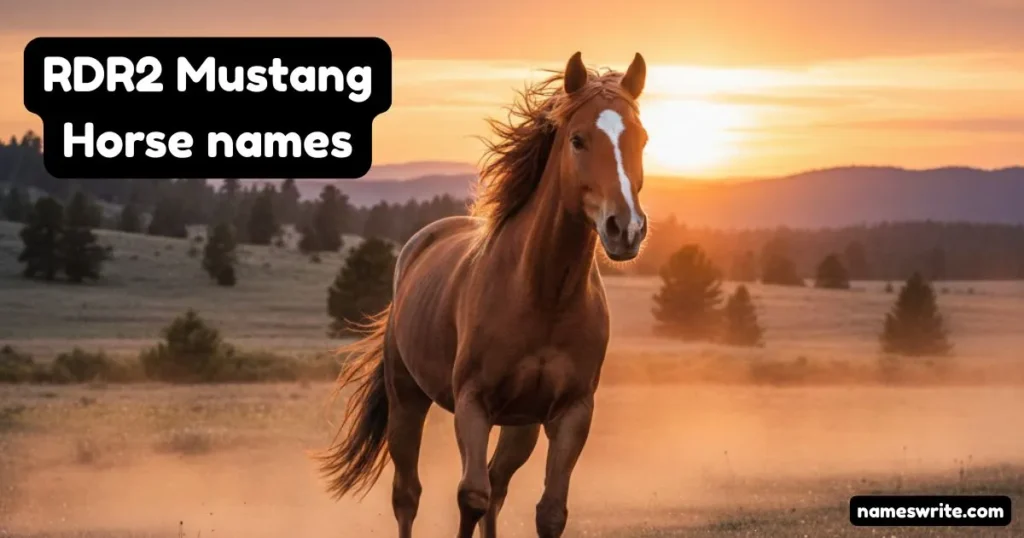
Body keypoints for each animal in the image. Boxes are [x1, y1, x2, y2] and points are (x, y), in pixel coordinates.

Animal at [317, 50, 650, 538]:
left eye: (641, 139)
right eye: (578, 140)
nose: (625, 228)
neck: (542, 294)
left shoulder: (572, 412)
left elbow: (548, 511)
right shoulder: (473, 405)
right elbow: (471, 497)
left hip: (520, 425)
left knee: (498, 486)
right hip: (407, 402)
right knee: (408, 495)